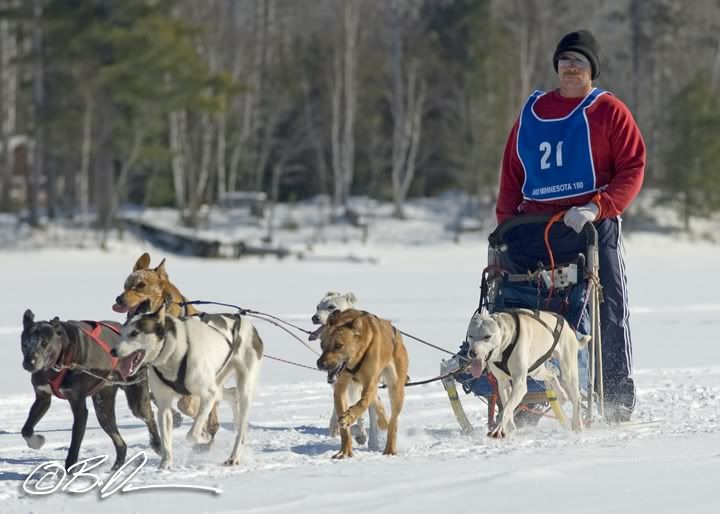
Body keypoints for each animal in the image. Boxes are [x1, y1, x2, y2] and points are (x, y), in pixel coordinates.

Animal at [112, 252, 219, 440]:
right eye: (125, 285)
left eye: (141, 285)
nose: (119, 299)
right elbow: (154, 396)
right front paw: (176, 416)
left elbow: (188, 401)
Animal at [115, 300, 264, 468]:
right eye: (121, 332)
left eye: (134, 333)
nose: (113, 351)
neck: (175, 352)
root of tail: (246, 323)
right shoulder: (164, 404)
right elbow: (166, 440)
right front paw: (165, 464)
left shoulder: (207, 395)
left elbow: (192, 434)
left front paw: (204, 437)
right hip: (218, 382)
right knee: (233, 394)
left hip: (243, 386)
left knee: (241, 429)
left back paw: (234, 456)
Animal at [318, 308, 408, 456]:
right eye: (322, 345)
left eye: (338, 345)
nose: (320, 363)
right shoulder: (341, 388)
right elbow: (345, 429)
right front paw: (344, 451)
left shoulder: (370, 382)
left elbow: (362, 403)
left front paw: (349, 416)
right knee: (379, 407)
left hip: (396, 389)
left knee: (393, 422)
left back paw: (389, 448)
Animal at [466, 308, 592, 436]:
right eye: (470, 335)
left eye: (487, 336)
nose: (472, 353)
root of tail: (567, 325)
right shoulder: (503, 384)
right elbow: (508, 407)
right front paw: (510, 428)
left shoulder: (520, 384)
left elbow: (505, 410)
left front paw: (499, 427)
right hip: (535, 371)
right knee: (551, 374)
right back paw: (561, 394)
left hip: (568, 371)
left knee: (577, 398)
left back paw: (578, 425)